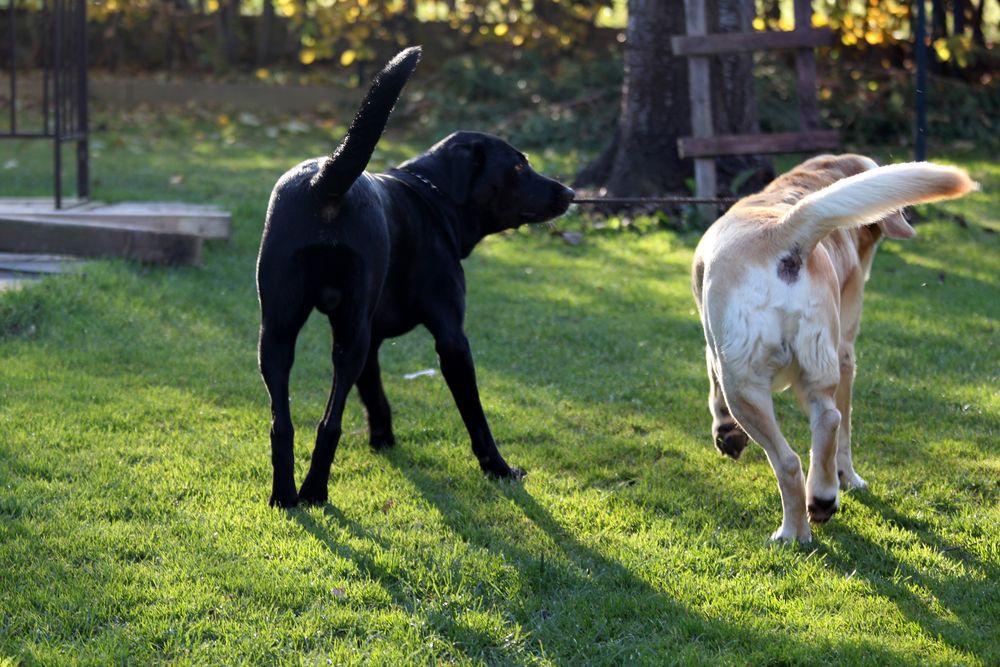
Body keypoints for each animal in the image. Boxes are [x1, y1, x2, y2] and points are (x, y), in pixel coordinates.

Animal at [254, 45, 576, 506]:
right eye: (518, 168)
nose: (569, 192)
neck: (431, 193)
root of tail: (324, 181)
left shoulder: (370, 338)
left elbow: (375, 394)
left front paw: (383, 440)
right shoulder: (452, 339)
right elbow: (476, 417)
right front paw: (498, 468)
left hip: (278, 331)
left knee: (282, 421)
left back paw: (285, 495)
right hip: (347, 333)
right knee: (329, 422)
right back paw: (314, 490)